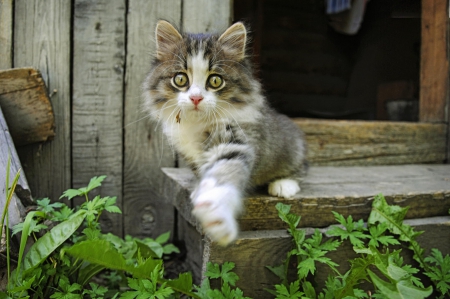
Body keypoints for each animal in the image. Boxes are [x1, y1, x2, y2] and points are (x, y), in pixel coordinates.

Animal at [142, 20, 308, 246]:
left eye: (215, 81)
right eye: (180, 79)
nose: (195, 98)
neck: (196, 124)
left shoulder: (235, 139)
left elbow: (224, 172)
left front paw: (216, 214)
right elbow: (204, 172)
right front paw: (200, 190)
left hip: (294, 149)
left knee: (301, 169)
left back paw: (284, 185)